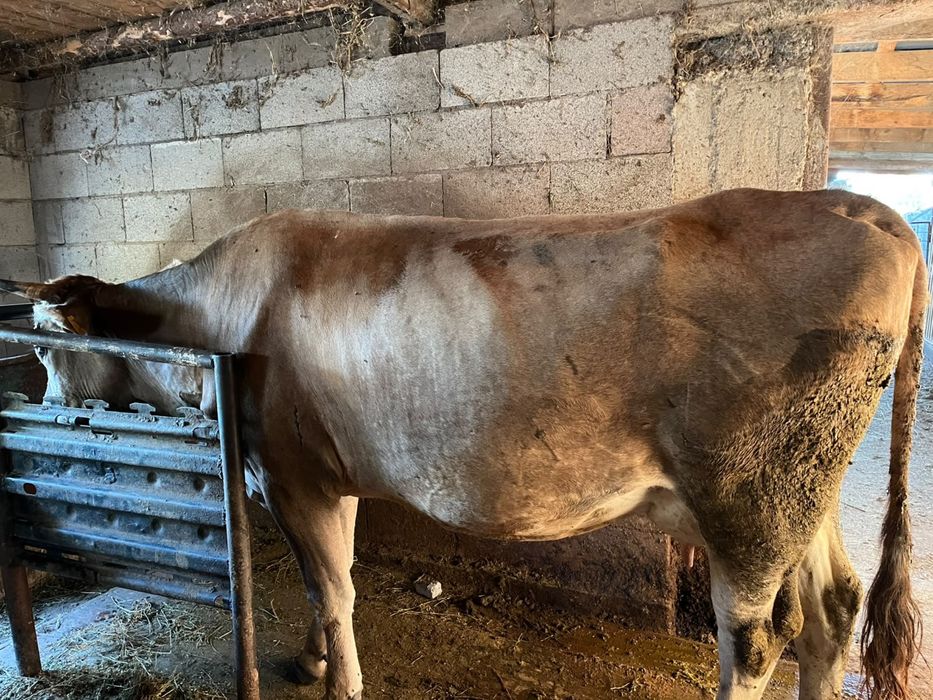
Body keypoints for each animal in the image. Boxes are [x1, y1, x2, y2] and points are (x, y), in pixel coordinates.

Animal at [0, 188, 925, 700]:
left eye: (40, 351)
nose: (44, 404)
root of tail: (862, 209)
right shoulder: (326, 476)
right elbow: (328, 586)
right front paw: (311, 662)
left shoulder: (293, 471)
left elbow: (330, 588)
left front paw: (340, 682)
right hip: (803, 487)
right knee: (831, 608)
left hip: (747, 496)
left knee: (757, 639)